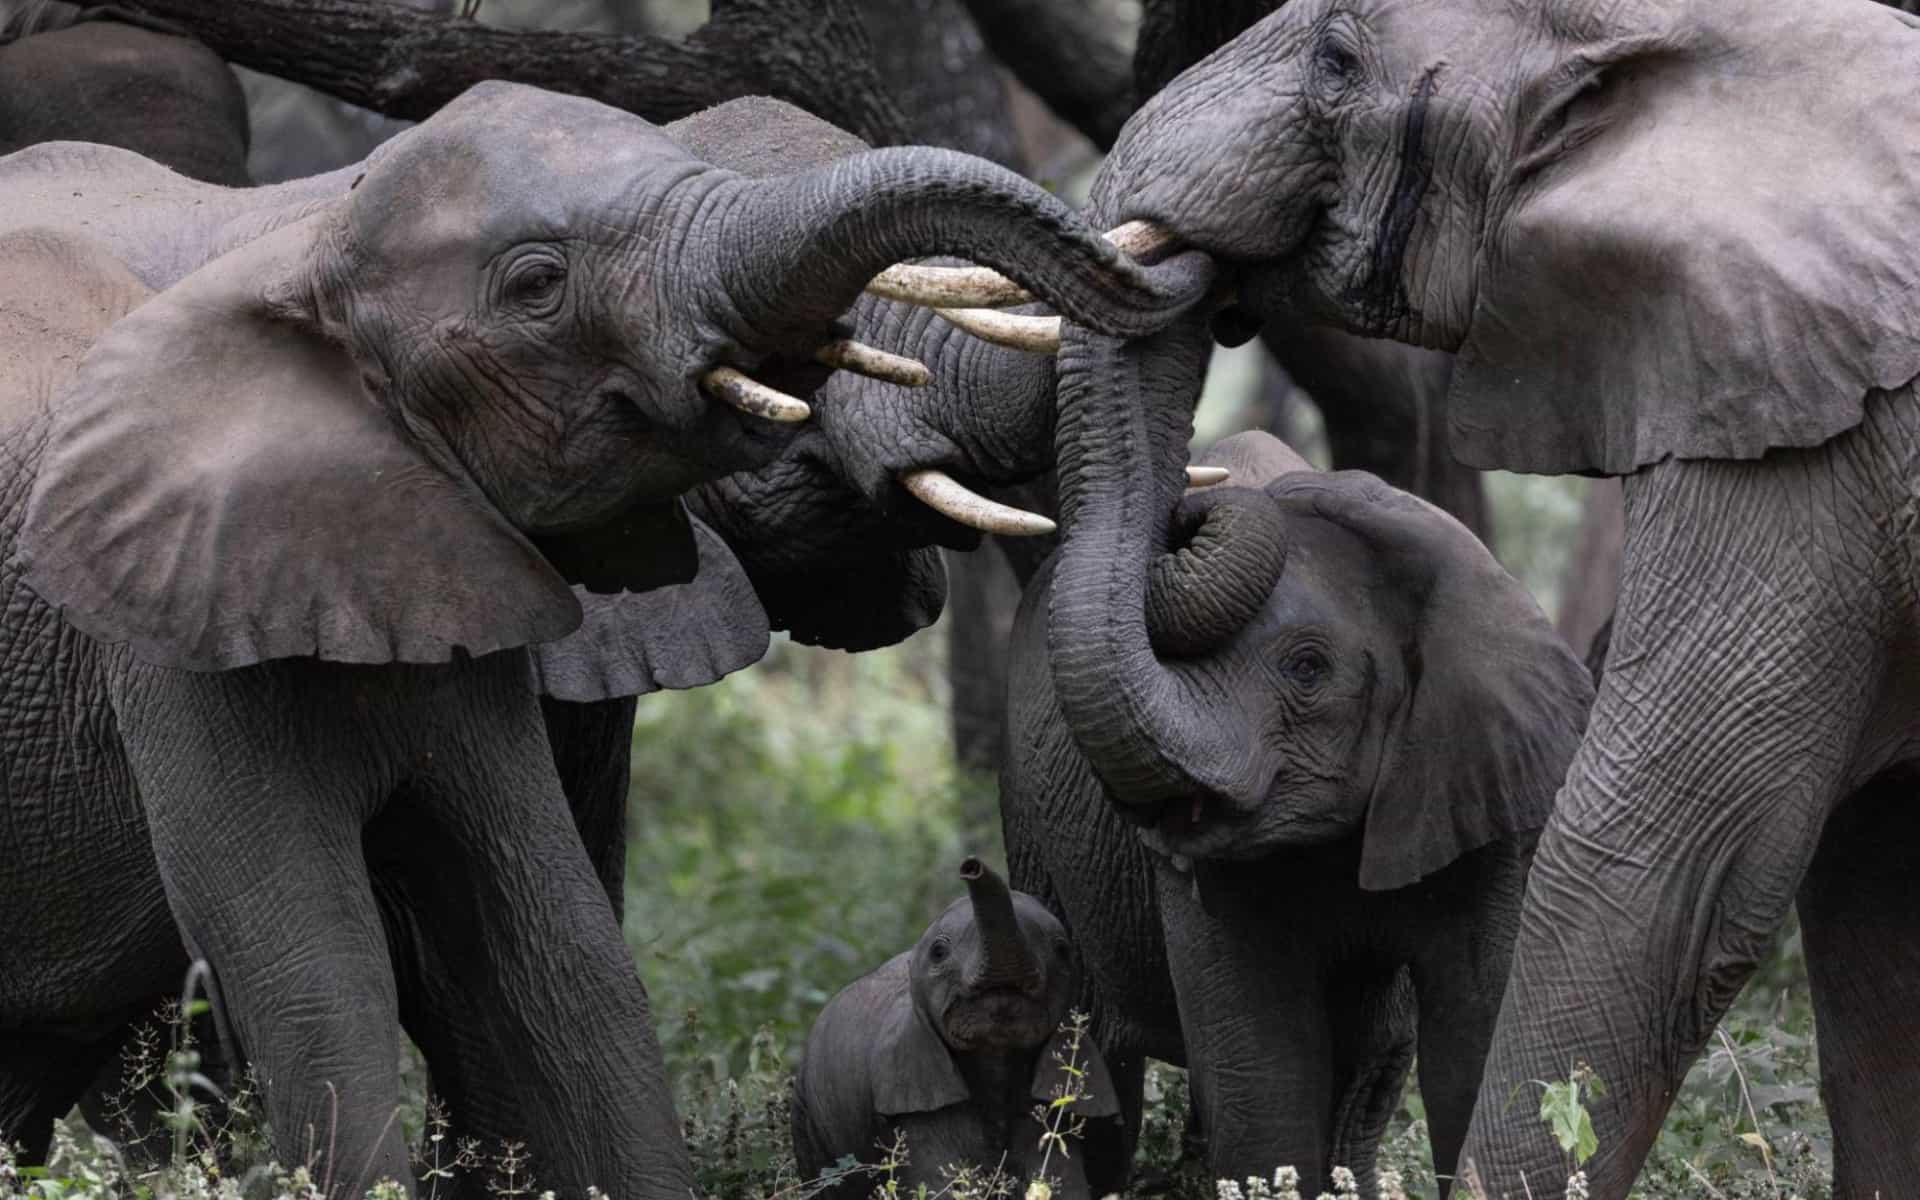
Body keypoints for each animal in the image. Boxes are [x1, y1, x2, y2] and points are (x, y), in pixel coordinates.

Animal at [792, 858, 1123, 1200]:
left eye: (1062, 951)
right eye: (938, 952)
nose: (971, 866)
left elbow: (1061, 1177)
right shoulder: (915, 1089)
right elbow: (939, 1180)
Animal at [1003, 429, 1591, 1193]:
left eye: (1307, 670)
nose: (1185, 513)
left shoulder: (1479, 800)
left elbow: (1473, 1047)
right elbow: (1265, 1081)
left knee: (1371, 1069)